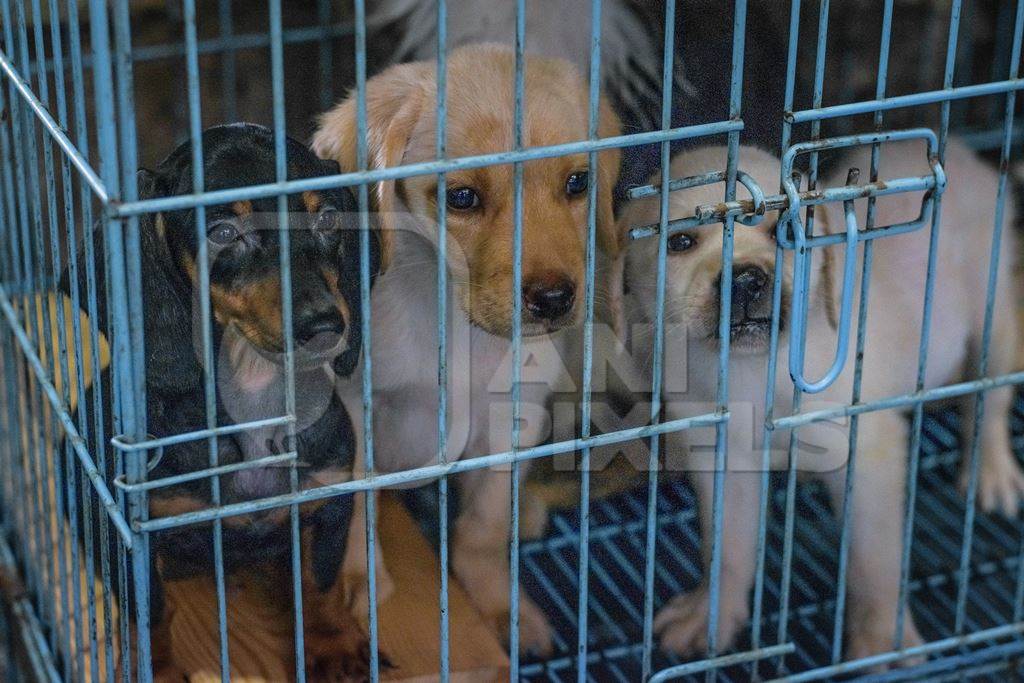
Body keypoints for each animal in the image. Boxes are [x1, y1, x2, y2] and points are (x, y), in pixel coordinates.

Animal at [66, 124, 382, 683]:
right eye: (224, 233)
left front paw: (334, 645)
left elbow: (320, 582)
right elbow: (151, 613)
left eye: (326, 219)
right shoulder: (139, 537)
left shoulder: (329, 503)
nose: (326, 326)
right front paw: (157, 669)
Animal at [311, 42, 618, 651]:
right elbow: (356, 504)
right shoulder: (354, 412)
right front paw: (361, 580)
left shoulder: (513, 418)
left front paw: (501, 603)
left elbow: (484, 524)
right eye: (462, 198)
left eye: (577, 183)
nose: (554, 299)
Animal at [618, 140, 1019, 667]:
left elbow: (874, 562)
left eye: (788, 233)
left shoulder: (867, 457)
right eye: (681, 243)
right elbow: (728, 547)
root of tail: (963, 155)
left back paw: (990, 471)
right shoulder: (723, 460)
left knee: (990, 399)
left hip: (993, 309)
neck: (758, 371)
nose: (745, 280)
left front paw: (880, 642)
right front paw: (710, 614)